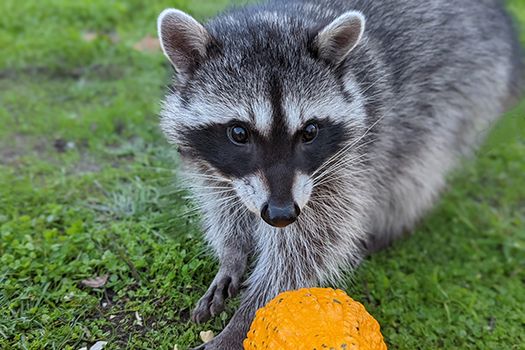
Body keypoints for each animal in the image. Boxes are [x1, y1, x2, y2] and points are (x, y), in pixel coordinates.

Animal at [155, 0, 520, 348]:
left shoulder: (345, 164)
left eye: (310, 131)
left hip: (462, 95)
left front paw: (243, 322)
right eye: (239, 133)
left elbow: (306, 250)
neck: (278, 16)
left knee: (418, 168)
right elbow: (225, 206)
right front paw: (232, 255)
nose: (281, 214)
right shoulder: (219, 169)